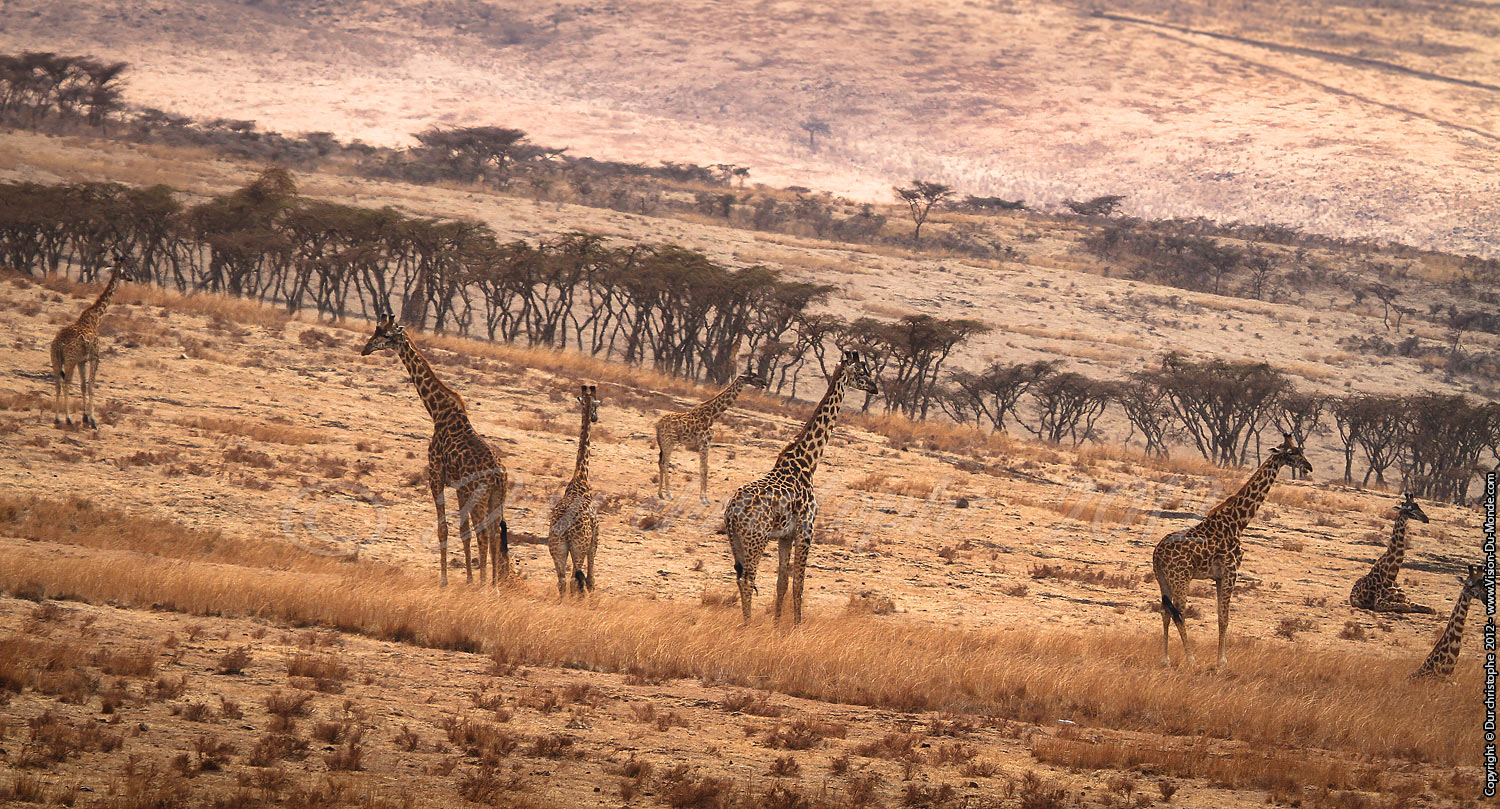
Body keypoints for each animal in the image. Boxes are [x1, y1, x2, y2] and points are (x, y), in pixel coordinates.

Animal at [50, 258, 133, 429]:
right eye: (125, 269)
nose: (131, 278)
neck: (95, 319)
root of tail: (58, 343)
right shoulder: (95, 358)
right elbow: (91, 386)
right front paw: (93, 421)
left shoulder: (82, 361)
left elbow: (83, 386)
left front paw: (85, 418)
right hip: (70, 361)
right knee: (66, 383)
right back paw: (68, 419)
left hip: (56, 359)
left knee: (57, 383)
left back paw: (57, 419)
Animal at [360, 313, 508, 586]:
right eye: (374, 331)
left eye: (385, 335)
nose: (365, 349)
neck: (438, 412)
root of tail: (498, 476)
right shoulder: (459, 487)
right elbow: (462, 530)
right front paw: (468, 580)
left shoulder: (436, 474)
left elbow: (444, 528)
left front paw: (445, 580)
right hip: (496, 498)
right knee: (493, 535)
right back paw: (493, 586)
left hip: (480, 495)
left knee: (484, 534)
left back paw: (485, 585)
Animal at [656, 357, 767, 503]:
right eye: (753, 376)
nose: (764, 383)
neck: (713, 415)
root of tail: (658, 425)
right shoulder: (704, 443)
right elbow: (704, 469)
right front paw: (704, 498)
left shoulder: (703, 444)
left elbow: (704, 468)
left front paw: (703, 497)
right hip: (669, 442)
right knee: (665, 463)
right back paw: (669, 494)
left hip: (662, 443)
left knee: (660, 462)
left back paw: (660, 493)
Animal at [725, 349, 878, 626]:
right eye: (863, 371)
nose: (876, 388)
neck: (807, 462)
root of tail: (731, 513)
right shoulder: (807, 529)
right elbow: (799, 583)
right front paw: (797, 626)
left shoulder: (786, 535)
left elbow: (782, 582)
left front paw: (777, 626)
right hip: (756, 539)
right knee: (748, 579)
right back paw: (747, 625)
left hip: (736, 541)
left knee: (740, 577)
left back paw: (747, 622)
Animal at [1153, 434, 1313, 668]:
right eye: (1292, 452)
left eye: (1300, 450)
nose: (1309, 467)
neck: (1238, 522)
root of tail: (1156, 554)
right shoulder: (1231, 572)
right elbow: (1224, 618)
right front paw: (1222, 662)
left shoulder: (1219, 577)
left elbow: (1221, 617)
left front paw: (1220, 660)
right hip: (1181, 578)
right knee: (1179, 613)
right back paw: (1191, 659)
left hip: (1163, 580)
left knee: (1165, 612)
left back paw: (1165, 659)